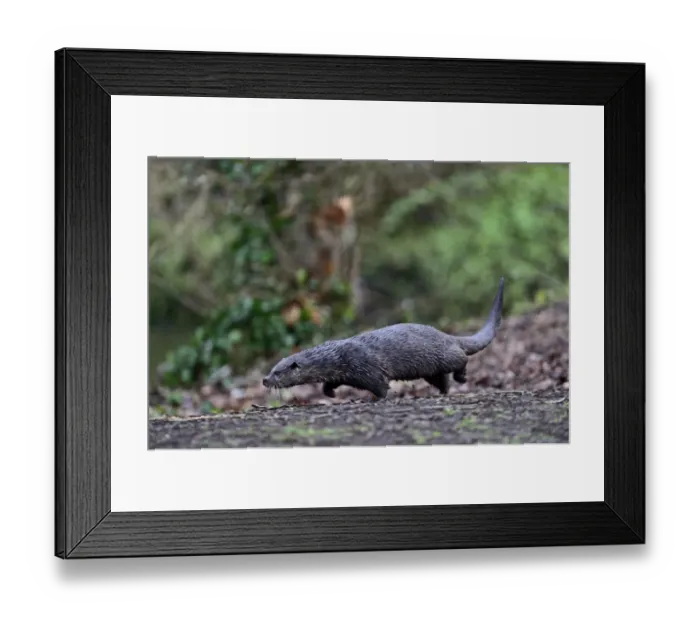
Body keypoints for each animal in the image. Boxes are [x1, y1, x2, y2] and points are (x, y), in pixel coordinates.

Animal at [262, 277, 505, 400]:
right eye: (271, 369)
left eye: (277, 372)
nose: (264, 380)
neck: (334, 358)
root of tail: (446, 335)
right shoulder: (343, 373)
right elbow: (329, 384)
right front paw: (329, 394)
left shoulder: (364, 367)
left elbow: (380, 385)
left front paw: (376, 399)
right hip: (430, 368)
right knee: (441, 378)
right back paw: (443, 391)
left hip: (444, 354)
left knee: (462, 358)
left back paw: (461, 377)